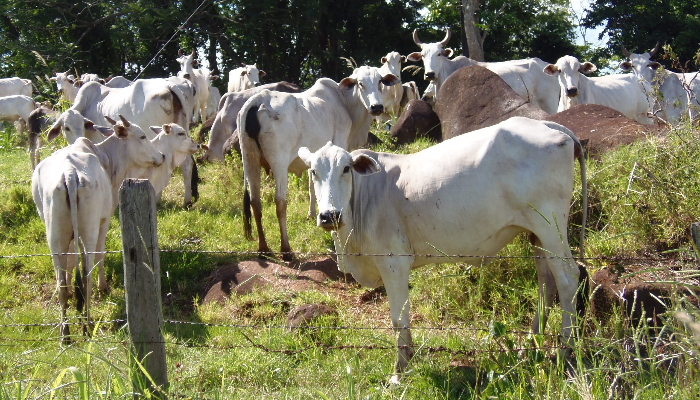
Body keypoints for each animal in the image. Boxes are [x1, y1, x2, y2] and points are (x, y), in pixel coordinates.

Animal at [46, 78, 200, 208]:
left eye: (81, 125)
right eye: (67, 127)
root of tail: (169, 86)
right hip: (182, 136)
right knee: (187, 164)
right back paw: (186, 201)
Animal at [239, 66, 400, 260]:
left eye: (380, 82)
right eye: (360, 83)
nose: (376, 107)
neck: (343, 101)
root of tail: (257, 100)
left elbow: (312, 186)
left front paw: (311, 214)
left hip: (249, 160)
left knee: (255, 202)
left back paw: (263, 249)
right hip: (279, 162)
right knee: (280, 202)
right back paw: (286, 249)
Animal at [298, 115, 588, 382]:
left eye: (346, 169)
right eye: (313, 172)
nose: (329, 215)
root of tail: (547, 125)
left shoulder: (394, 263)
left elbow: (399, 320)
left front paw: (399, 373)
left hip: (550, 226)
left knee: (568, 278)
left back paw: (565, 353)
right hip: (538, 235)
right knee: (546, 282)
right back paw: (530, 345)